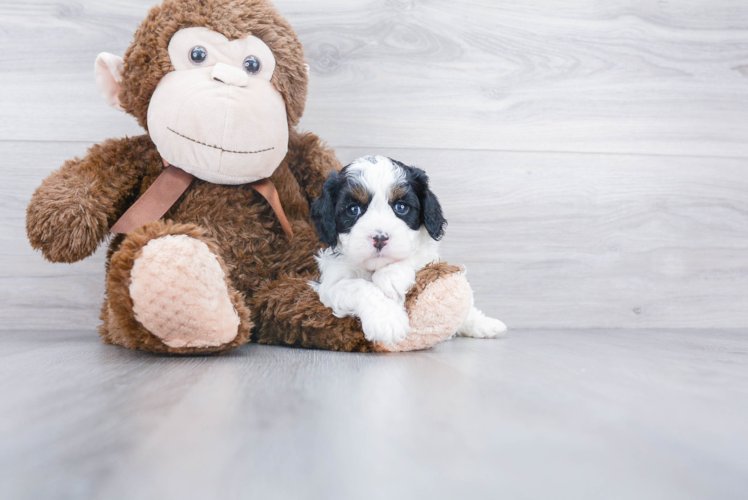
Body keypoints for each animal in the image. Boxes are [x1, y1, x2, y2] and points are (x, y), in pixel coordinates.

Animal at [306, 155, 506, 344]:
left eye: (401, 207)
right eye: (353, 209)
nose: (380, 238)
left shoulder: (426, 256)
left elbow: (414, 256)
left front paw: (391, 276)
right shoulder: (329, 284)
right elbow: (358, 286)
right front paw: (387, 321)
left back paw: (484, 324)